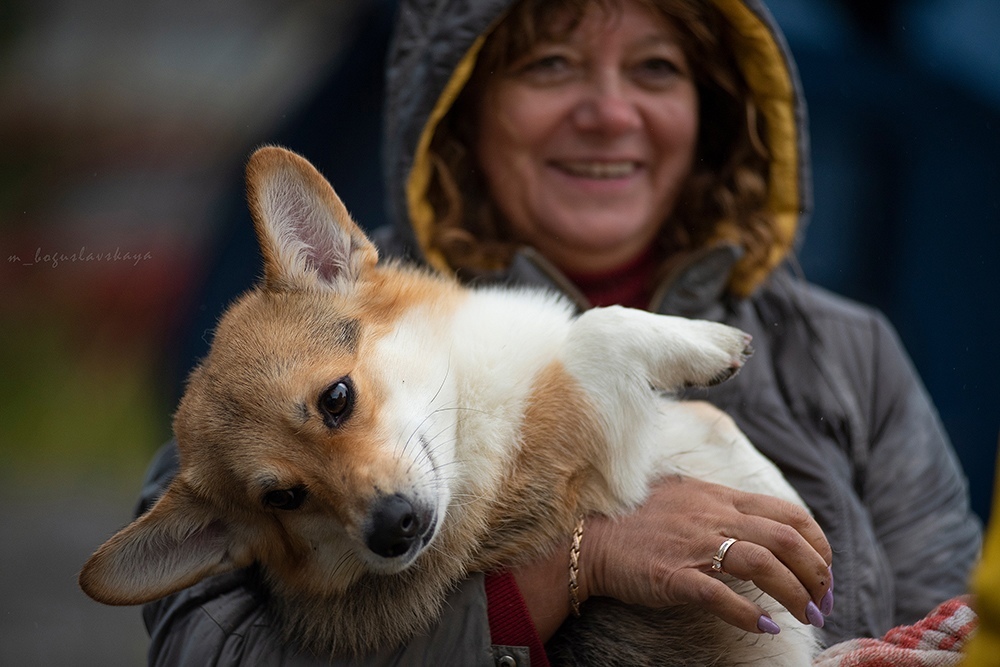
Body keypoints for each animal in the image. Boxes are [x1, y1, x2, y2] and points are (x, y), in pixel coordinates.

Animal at [78, 146, 816, 664]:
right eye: (282, 498)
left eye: (336, 398)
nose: (392, 531)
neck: (468, 417)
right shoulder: (578, 453)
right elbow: (597, 329)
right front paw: (708, 344)